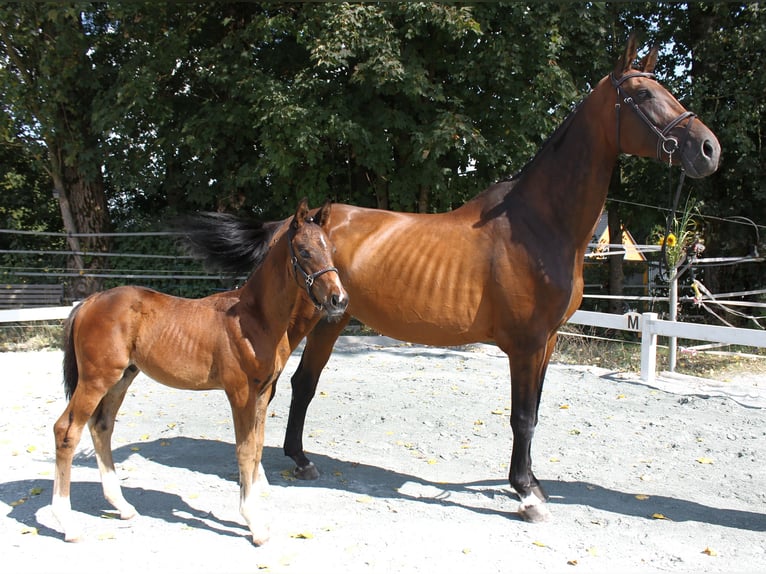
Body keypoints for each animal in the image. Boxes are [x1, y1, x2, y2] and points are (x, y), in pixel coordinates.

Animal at [54, 200, 352, 548]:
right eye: (304, 251)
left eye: (330, 248)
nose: (339, 299)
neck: (254, 318)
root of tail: (88, 302)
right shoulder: (240, 393)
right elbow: (244, 450)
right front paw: (254, 524)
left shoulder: (263, 391)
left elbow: (257, 447)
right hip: (95, 379)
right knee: (66, 430)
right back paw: (68, 525)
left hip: (122, 377)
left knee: (101, 426)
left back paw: (123, 507)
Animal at [183, 33, 724, 524]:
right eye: (642, 95)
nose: (708, 149)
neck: (540, 223)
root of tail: (299, 225)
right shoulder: (527, 343)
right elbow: (522, 416)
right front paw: (526, 496)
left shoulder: (547, 342)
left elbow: (534, 412)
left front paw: (532, 484)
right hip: (309, 321)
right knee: (285, 385)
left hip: (331, 320)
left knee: (302, 383)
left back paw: (301, 460)